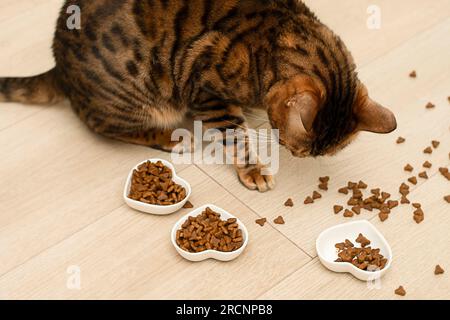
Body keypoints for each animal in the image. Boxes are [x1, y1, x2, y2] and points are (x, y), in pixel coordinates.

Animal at [0, 0, 396, 192]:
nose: (293, 153)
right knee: (103, 125)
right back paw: (172, 138)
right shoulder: (206, 87)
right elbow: (235, 137)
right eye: (295, 147)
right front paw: (253, 170)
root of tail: (59, 65)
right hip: (135, 98)